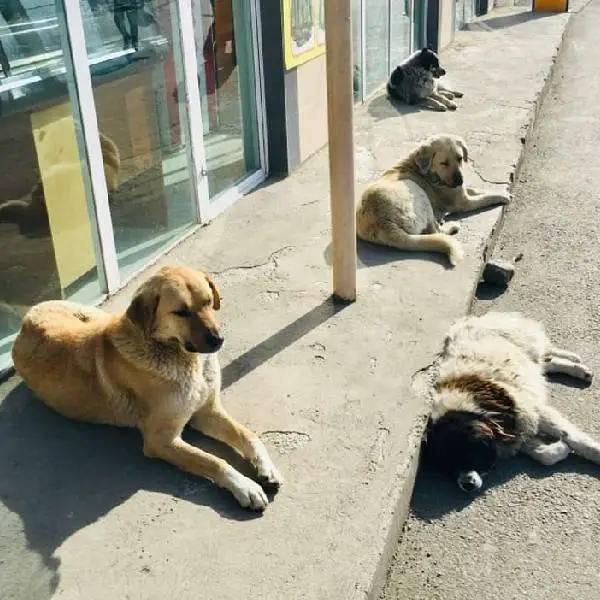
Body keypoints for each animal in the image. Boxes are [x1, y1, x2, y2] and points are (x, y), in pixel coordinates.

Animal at [12, 266, 284, 510]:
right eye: (181, 312)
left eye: (208, 301)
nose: (218, 340)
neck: (176, 355)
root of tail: (27, 317)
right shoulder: (160, 439)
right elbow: (212, 460)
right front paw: (245, 486)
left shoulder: (206, 411)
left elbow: (248, 435)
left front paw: (266, 466)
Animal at [358, 137, 508, 268]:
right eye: (444, 163)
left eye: (459, 158)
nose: (459, 181)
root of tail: (383, 223)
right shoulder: (463, 202)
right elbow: (487, 198)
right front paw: (503, 195)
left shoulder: (462, 192)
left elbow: (476, 190)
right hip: (417, 191)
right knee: (436, 230)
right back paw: (450, 226)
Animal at [424, 314, 596, 492]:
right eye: (446, 464)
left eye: (468, 452)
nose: (467, 485)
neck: (472, 411)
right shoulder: (513, 430)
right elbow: (542, 454)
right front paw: (559, 448)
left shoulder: (528, 412)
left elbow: (574, 437)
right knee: (547, 362)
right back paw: (580, 370)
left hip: (525, 344)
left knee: (545, 354)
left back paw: (575, 363)